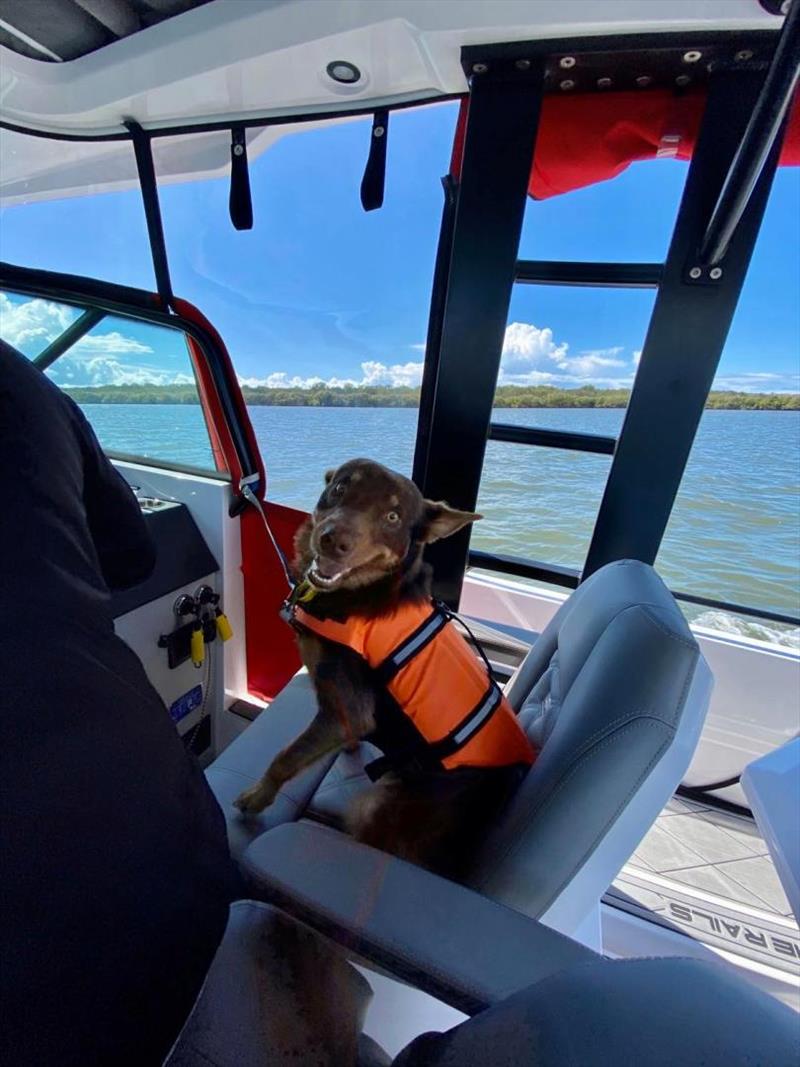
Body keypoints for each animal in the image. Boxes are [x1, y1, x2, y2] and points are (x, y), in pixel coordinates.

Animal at [233, 458, 533, 874]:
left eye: (393, 517)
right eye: (340, 489)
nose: (332, 540)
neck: (361, 592)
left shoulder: (349, 708)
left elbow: (286, 756)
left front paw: (257, 796)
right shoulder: (338, 713)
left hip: (379, 802)